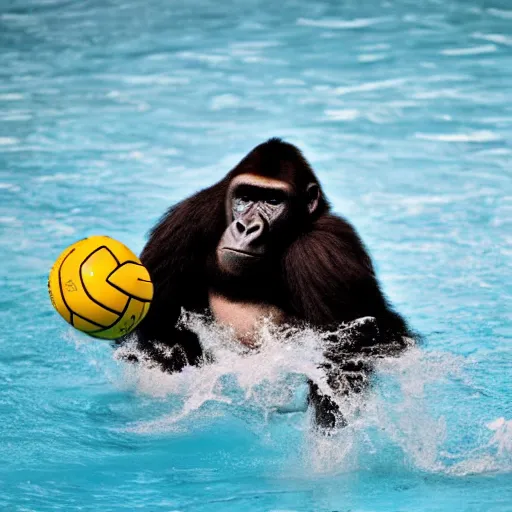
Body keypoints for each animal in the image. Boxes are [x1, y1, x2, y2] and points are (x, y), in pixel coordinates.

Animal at [121, 138, 416, 426]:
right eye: (245, 197)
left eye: (274, 200)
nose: (246, 227)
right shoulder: (186, 220)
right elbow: (151, 329)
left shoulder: (324, 247)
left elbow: (344, 362)